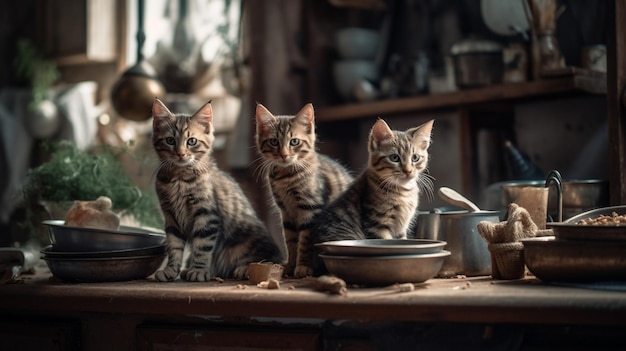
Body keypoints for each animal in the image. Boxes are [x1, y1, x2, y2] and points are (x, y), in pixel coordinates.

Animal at [152, 99, 282, 284]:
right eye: (170, 140)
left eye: (191, 141)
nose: (180, 154)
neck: (180, 179)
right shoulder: (171, 218)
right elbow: (174, 246)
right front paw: (171, 270)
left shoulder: (207, 215)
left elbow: (202, 247)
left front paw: (199, 270)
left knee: (269, 261)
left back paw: (243, 269)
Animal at [254, 103, 352, 280]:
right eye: (273, 141)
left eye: (294, 142)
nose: (284, 155)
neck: (286, 177)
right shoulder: (286, 213)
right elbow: (291, 243)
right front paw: (290, 266)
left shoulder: (310, 210)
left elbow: (305, 243)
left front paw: (303, 267)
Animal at [310, 118, 432, 276]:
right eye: (394, 158)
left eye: (415, 158)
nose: (408, 171)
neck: (403, 192)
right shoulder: (377, 224)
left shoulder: (401, 229)